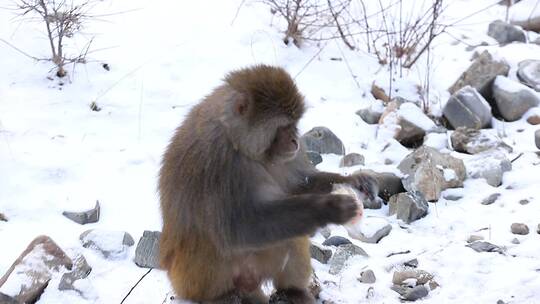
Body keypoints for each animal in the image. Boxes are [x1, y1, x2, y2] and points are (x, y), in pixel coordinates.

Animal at [157, 65, 376, 302]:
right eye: (283, 126)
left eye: (294, 124)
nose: (295, 141)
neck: (240, 143)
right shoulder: (220, 163)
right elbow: (238, 228)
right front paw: (330, 208)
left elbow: (297, 185)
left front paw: (356, 182)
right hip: (192, 280)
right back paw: (223, 296)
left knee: (291, 237)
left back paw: (293, 291)